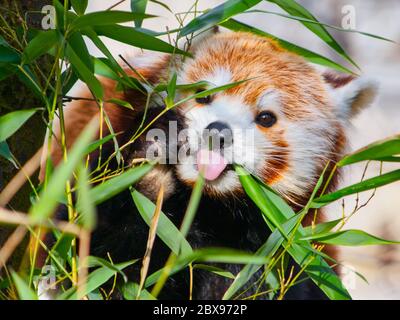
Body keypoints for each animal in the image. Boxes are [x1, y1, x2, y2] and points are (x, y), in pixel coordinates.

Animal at [38, 31, 378, 298]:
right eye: (204, 94)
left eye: (266, 118)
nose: (217, 131)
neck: (206, 207)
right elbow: (87, 252)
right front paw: (151, 167)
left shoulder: (284, 246)